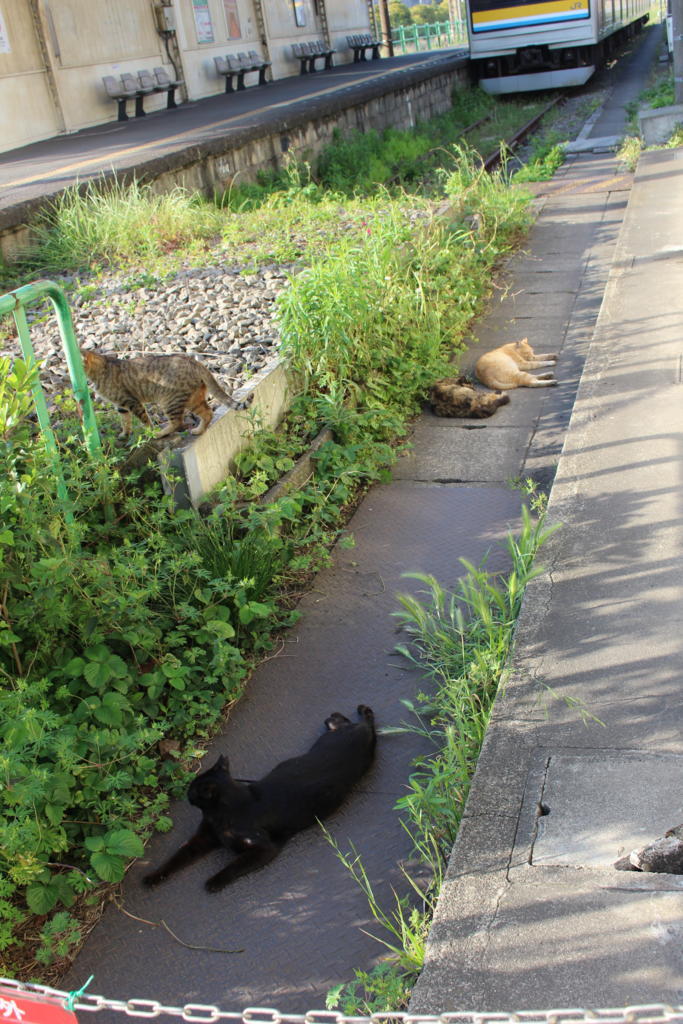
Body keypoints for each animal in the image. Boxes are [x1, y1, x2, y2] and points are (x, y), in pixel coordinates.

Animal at [81, 346, 237, 438]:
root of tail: (194, 361)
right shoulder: (121, 405)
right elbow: (125, 421)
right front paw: (125, 434)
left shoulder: (132, 402)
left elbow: (145, 420)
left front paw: (151, 432)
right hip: (193, 399)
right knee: (208, 412)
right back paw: (199, 430)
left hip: (169, 401)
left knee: (177, 422)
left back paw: (161, 433)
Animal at [142, 708, 376, 892]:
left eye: (193, 790)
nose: (186, 794)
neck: (222, 817)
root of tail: (363, 733)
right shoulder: (203, 837)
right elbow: (177, 857)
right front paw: (153, 877)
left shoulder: (264, 848)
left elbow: (234, 866)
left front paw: (213, 882)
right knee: (346, 721)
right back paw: (335, 717)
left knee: (358, 723)